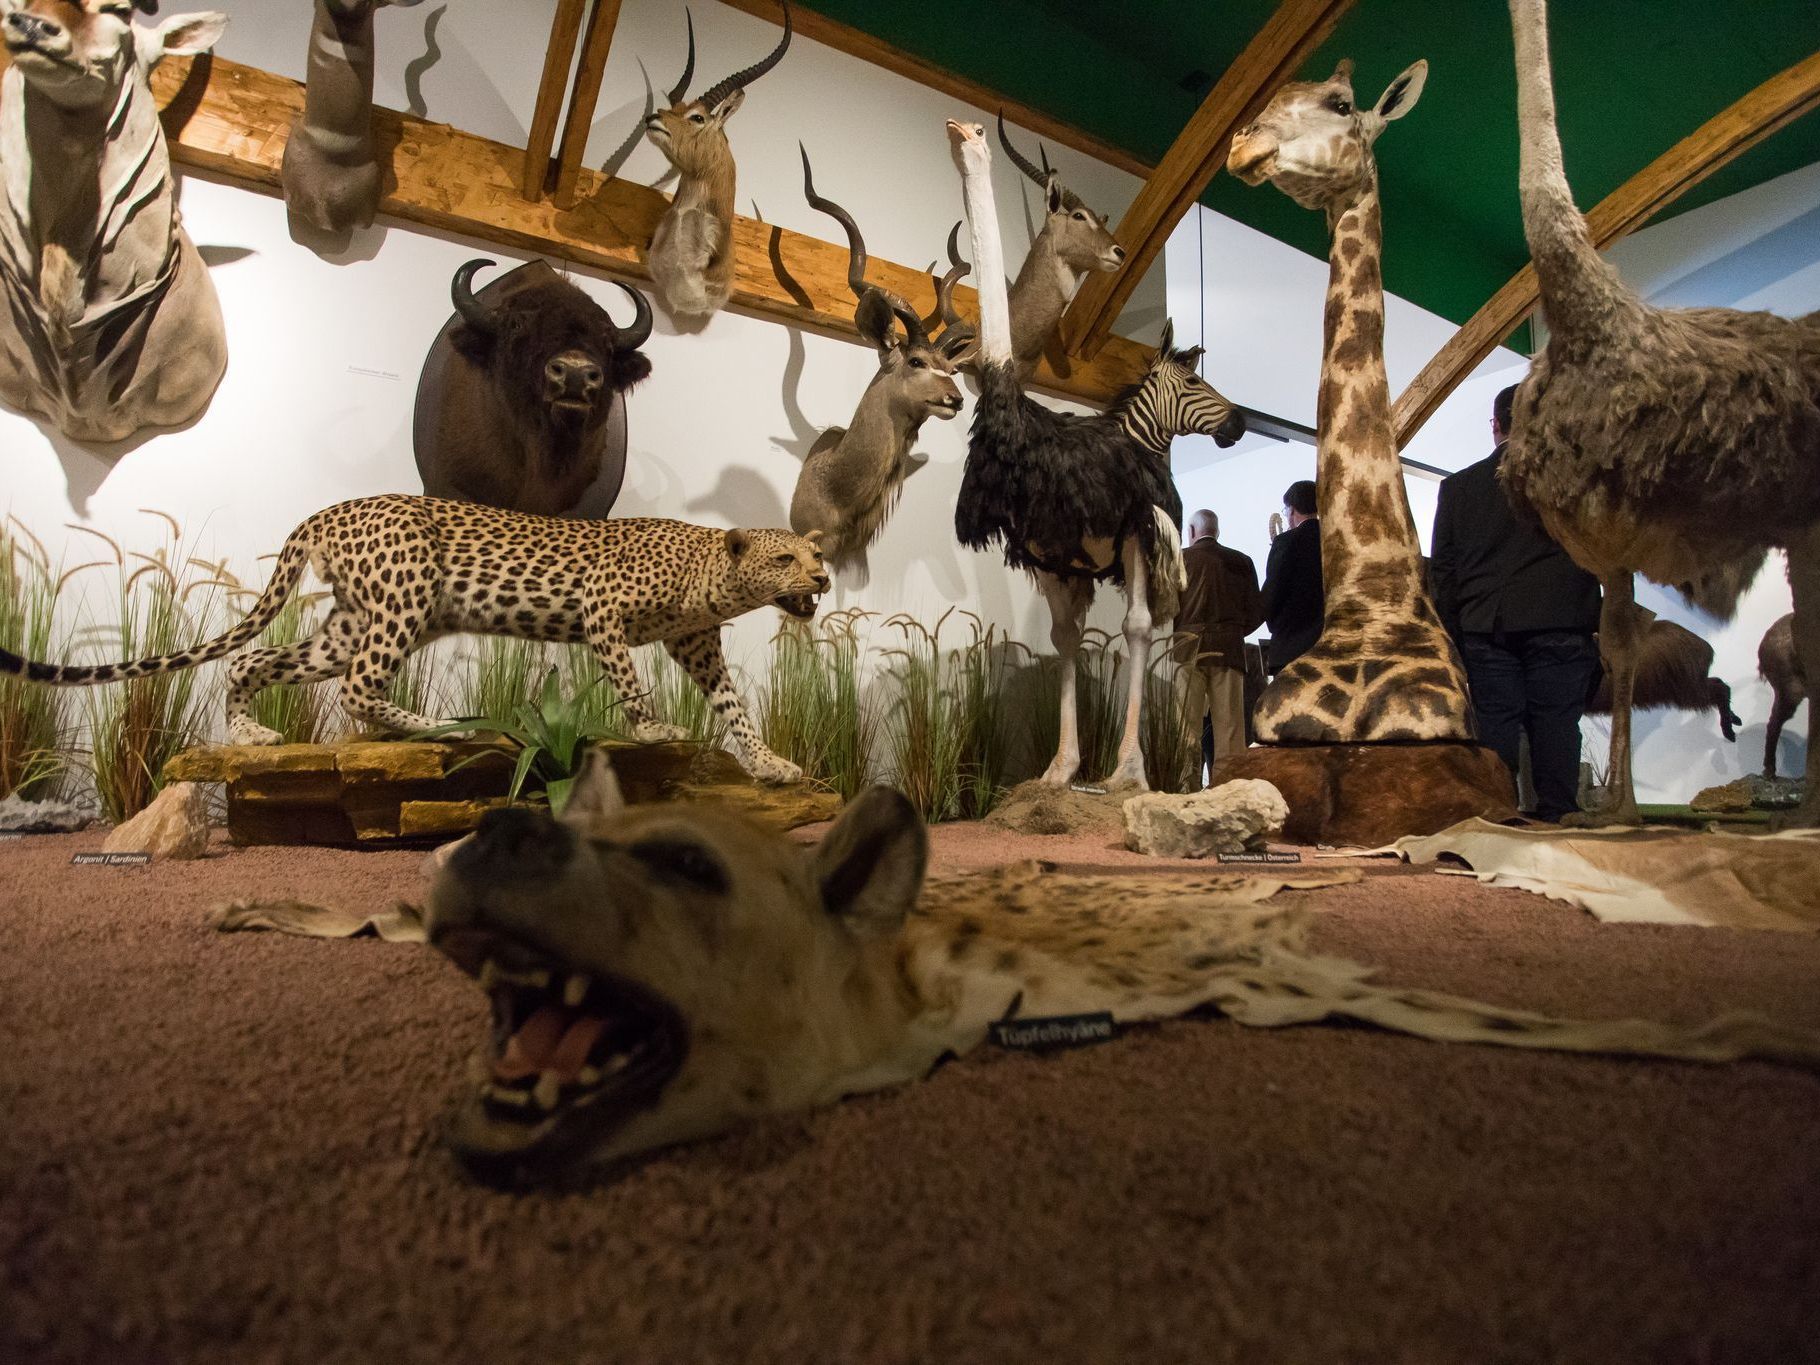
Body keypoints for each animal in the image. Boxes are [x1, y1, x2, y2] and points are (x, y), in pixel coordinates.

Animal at [0, 494, 829, 785]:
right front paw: (653, 727)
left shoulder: (699, 646)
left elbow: (735, 709)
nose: (823, 575)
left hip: (348, 622)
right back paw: (438, 727)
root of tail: (327, 512)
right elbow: (632, 681)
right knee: (357, 686)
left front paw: (771, 764)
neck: (710, 577)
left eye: (811, 553)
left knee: (256, 657)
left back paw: (250, 732)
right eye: (786, 557)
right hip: (405, 598)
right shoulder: (603, 613)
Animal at [401, 750, 1820, 1185]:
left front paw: (1760, 1037)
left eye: (689, 866)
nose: (502, 828)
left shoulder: (1298, 987)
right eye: (585, 837)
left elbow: (1589, 1027)